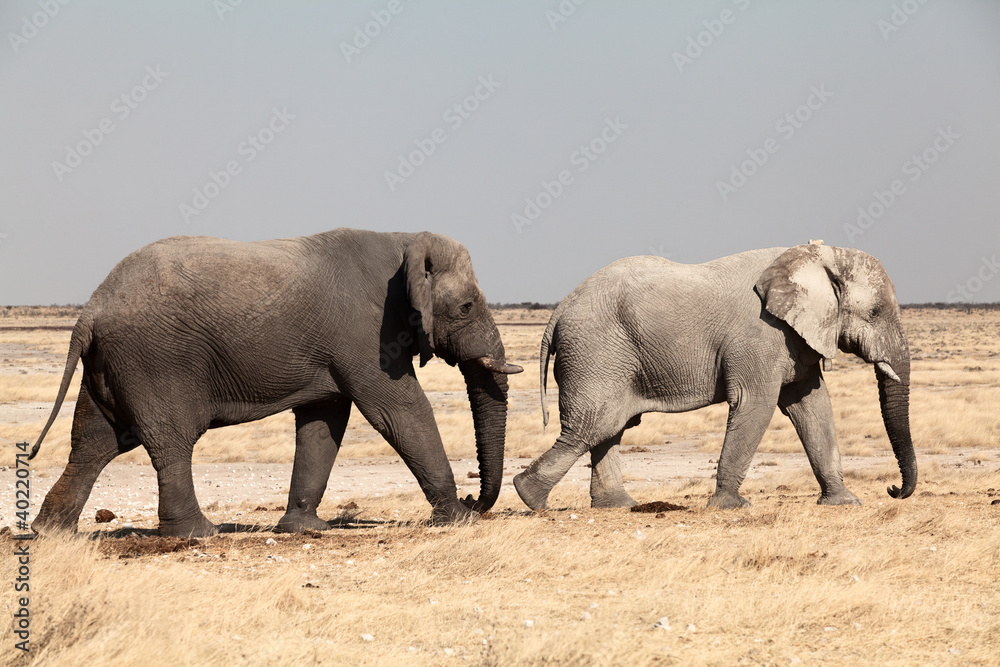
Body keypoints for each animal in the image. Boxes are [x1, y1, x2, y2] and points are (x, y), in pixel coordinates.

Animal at [30, 228, 522, 537]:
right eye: (466, 307)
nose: (475, 499)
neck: (402, 241)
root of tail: (91, 309)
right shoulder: (366, 332)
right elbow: (398, 409)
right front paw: (457, 521)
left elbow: (325, 421)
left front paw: (304, 529)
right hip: (154, 359)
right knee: (169, 441)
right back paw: (197, 534)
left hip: (111, 364)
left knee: (93, 442)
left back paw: (51, 532)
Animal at [513, 244, 916, 510]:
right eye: (875, 313)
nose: (894, 490)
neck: (815, 257)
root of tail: (560, 308)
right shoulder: (760, 336)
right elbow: (756, 405)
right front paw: (729, 507)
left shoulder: (794, 338)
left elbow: (813, 408)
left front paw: (845, 503)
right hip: (596, 352)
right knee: (593, 424)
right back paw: (529, 496)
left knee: (608, 427)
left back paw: (619, 506)